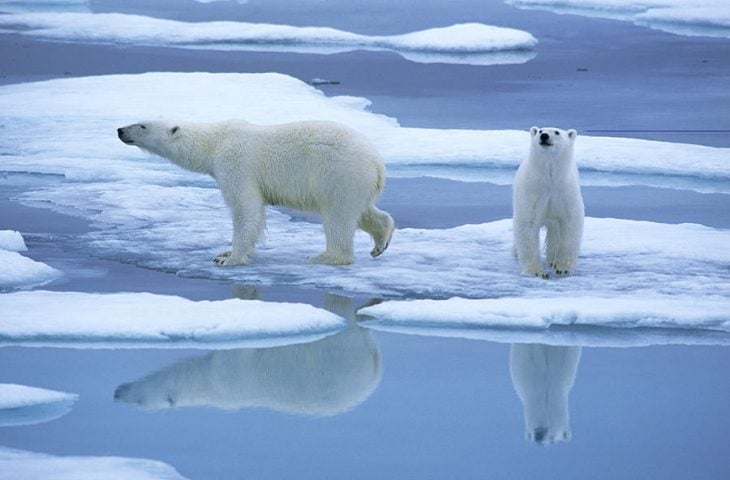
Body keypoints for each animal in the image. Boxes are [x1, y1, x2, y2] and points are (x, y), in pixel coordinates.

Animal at [118, 118, 392, 264]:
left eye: (142, 126)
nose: (120, 130)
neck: (215, 142)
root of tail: (377, 162)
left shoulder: (235, 164)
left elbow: (245, 208)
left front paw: (229, 258)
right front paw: (226, 251)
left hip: (339, 174)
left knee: (338, 216)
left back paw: (325, 257)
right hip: (356, 181)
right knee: (363, 212)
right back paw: (380, 243)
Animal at [512, 125, 584, 280]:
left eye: (557, 132)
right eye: (540, 131)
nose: (544, 136)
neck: (549, 179)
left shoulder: (565, 192)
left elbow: (570, 222)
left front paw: (562, 268)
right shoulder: (532, 192)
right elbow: (527, 224)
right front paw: (536, 272)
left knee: (556, 231)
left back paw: (552, 259)